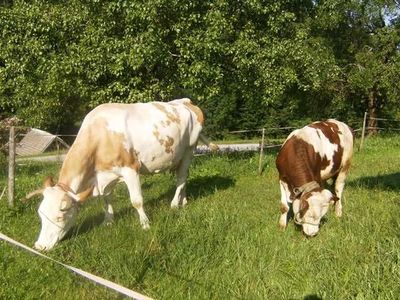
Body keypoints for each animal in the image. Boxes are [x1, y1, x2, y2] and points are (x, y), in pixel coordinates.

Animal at [25, 98, 219, 251]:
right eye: (41, 214)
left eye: (60, 216)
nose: (39, 246)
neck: (100, 136)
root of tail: (185, 101)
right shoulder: (105, 175)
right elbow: (106, 199)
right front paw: (108, 221)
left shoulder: (130, 169)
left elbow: (136, 201)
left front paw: (145, 224)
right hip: (179, 155)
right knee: (184, 177)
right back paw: (183, 201)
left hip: (189, 149)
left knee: (181, 179)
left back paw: (173, 204)